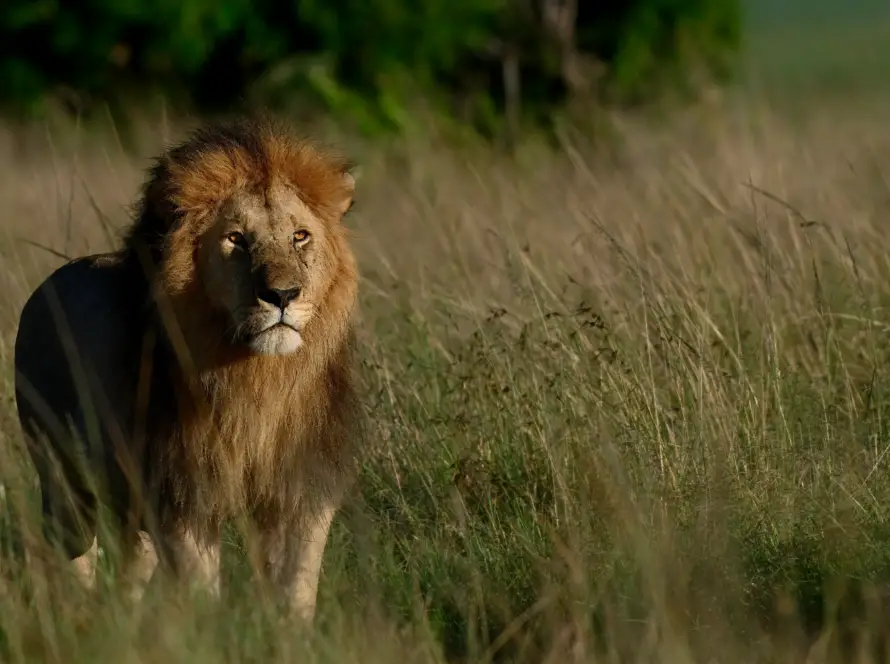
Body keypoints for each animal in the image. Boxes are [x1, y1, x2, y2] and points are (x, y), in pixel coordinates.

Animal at [13, 116, 363, 621]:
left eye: (300, 236)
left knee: (132, 563)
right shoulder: (183, 490)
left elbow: (296, 591)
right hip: (62, 475)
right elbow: (200, 588)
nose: (282, 295)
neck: (260, 380)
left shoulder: (299, 487)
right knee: (72, 555)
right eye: (236, 238)